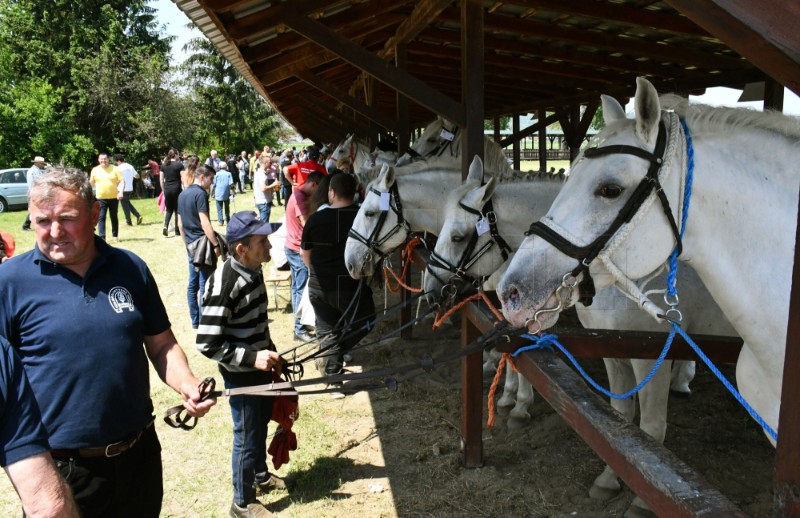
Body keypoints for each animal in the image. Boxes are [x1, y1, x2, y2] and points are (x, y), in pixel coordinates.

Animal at [428, 156, 736, 516]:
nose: (431, 288)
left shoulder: (651, 357)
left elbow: (650, 427)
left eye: (459, 237)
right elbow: (620, 421)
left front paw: (642, 502)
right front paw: (609, 480)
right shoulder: (612, 350)